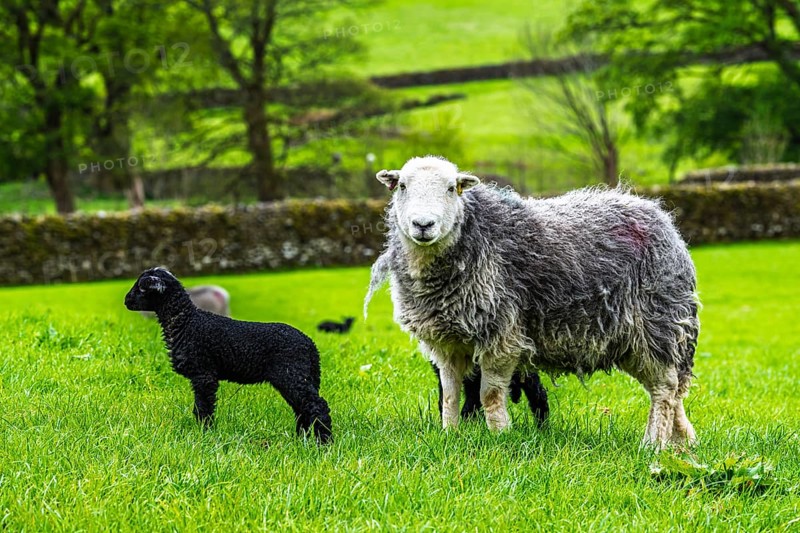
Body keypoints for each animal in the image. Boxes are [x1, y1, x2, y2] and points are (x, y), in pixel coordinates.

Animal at [124, 267, 332, 444]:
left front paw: (204, 433)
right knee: (302, 409)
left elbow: (202, 408)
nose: (126, 301)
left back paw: (324, 443)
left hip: (291, 374)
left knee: (317, 406)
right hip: (298, 377)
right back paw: (301, 440)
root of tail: (310, 345)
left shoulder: (204, 374)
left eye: (141, 287)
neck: (186, 322)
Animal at [371, 155, 699, 447]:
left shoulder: (503, 336)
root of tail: (659, 215)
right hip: (632, 339)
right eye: (402, 186)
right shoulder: (447, 343)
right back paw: (682, 441)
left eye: (452, 188)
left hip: (657, 324)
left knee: (665, 389)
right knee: (671, 392)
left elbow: (489, 394)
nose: (423, 224)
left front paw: (500, 437)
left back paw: (654, 444)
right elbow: (449, 394)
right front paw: (449, 434)